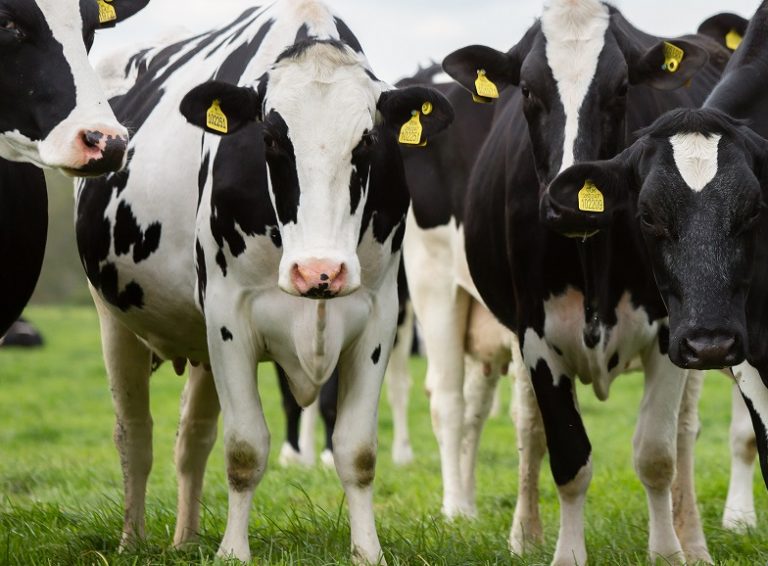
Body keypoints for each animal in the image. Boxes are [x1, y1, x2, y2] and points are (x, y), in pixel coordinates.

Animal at [76, 1, 452, 563]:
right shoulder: (229, 317)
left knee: (192, 438)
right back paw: (133, 539)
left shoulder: (379, 317)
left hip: (201, 344)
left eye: (367, 141)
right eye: (271, 139)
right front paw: (233, 552)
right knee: (134, 435)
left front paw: (368, 551)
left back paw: (186, 538)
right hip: (114, 318)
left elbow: (357, 451)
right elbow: (245, 448)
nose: (319, 270)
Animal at [436, 0, 735, 563]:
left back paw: (694, 541)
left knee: (685, 433)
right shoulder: (535, 335)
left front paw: (668, 552)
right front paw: (566, 552)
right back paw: (520, 531)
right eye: (527, 90)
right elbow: (569, 457)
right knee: (517, 423)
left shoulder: (669, 333)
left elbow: (657, 454)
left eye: (622, 88)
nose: (569, 200)